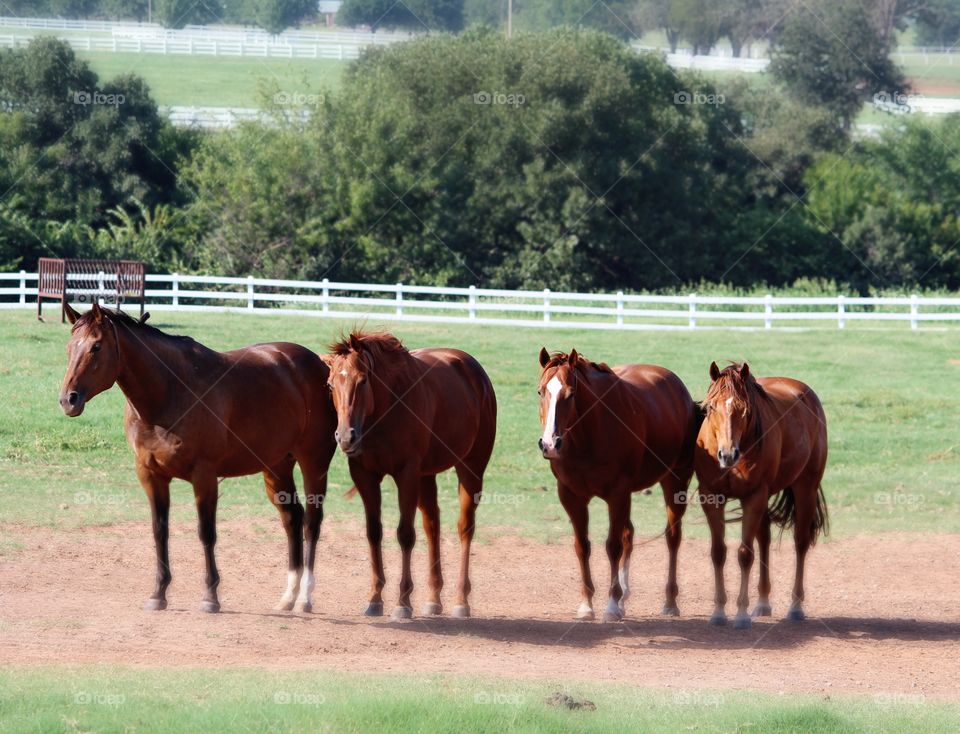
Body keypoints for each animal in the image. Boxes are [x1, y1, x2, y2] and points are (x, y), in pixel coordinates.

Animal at [59, 304, 338, 616]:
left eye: (96, 347)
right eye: (70, 347)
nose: (68, 399)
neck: (170, 391)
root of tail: (319, 364)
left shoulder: (204, 476)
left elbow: (206, 533)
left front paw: (210, 597)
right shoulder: (150, 475)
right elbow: (160, 531)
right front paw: (158, 593)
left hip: (313, 463)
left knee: (312, 521)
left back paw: (304, 597)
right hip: (276, 467)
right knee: (292, 518)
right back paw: (288, 596)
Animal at [326, 332, 498, 620]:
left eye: (362, 380)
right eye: (330, 385)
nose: (345, 437)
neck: (385, 408)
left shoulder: (406, 474)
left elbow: (405, 534)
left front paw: (403, 602)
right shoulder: (365, 475)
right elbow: (374, 532)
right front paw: (375, 598)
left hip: (470, 467)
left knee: (465, 527)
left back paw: (461, 600)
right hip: (426, 476)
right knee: (432, 525)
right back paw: (433, 598)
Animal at [536, 348, 700, 624]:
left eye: (570, 394)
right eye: (540, 391)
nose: (549, 444)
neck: (588, 435)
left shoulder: (617, 493)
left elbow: (613, 546)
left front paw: (611, 605)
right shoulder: (571, 496)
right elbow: (582, 546)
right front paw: (587, 605)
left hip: (675, 479)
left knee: (672, 537)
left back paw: (669, 601)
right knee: (629, 534)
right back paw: (625, 597)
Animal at [692, 366, 828, 628]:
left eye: (744, 409)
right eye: (711, 407)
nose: (727, 455)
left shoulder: (754, 496)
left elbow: (745, 554)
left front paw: (741, 614)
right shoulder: (711, 496)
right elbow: (718, 552)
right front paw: (719, 612)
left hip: (805, 487)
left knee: (800, 543)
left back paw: (796, 607)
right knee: (764, 540)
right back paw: (763, 602)